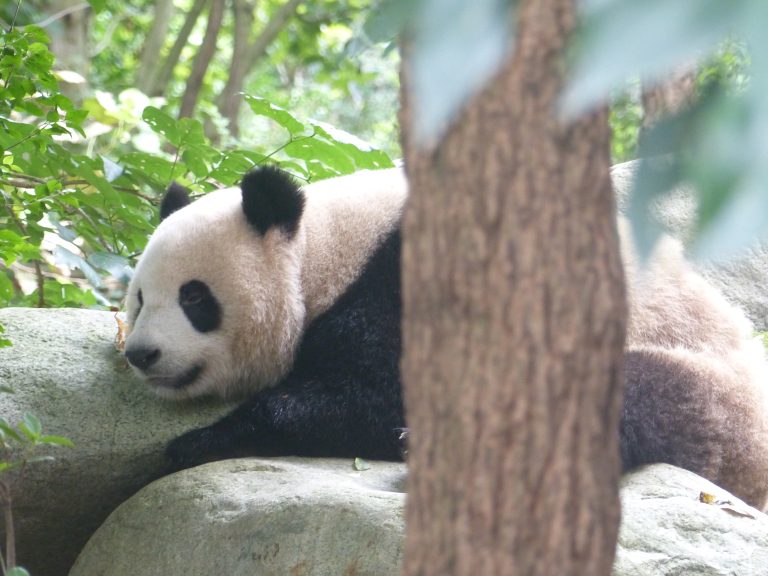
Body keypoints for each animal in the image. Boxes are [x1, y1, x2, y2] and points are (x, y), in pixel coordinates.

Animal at [124, 165, 768, 511]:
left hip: (708, 389)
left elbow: (382, 395)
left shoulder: (405, 285)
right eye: (137, 298)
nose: (140, 353)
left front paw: (198, 442)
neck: (325, 249)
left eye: (195, 298)